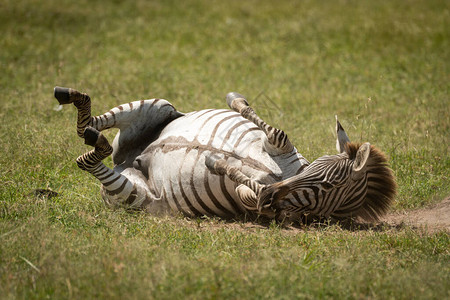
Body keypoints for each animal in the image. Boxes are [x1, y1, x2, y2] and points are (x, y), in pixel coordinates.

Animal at [53, 86, 398, 223]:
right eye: (320, 172)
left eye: (327, 187)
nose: (276, 191)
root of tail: (129, 159)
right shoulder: (278, 146)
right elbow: (276, 132)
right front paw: (236, 100)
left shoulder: (259, 204)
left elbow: (253, 192)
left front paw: (216, 162)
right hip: (160, 105)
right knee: (89, 123)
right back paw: (74, 99)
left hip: (137, 197)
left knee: (88, 158)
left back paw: (96, 141)